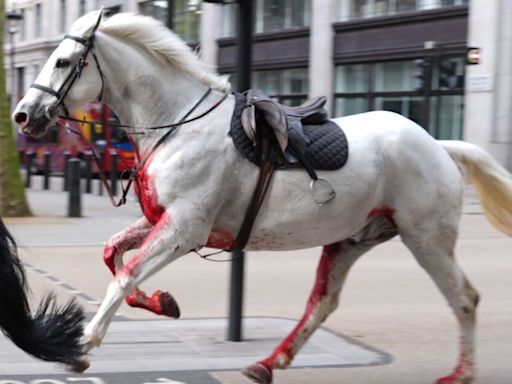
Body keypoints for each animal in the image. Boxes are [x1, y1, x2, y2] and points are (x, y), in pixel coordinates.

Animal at [12, 10, 512, 384]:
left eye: (63, 61)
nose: (22, 115)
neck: (178, 125)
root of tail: (438, 145)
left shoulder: (184, 228)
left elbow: (125, 274)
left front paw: (82, 346)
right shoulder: (164, 221)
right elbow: (113, 255)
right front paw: (162, 303)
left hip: (426, 238)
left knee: (465, 298)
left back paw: (461, 373)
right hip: (352, 239)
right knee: (322, 303)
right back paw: (269, 363)